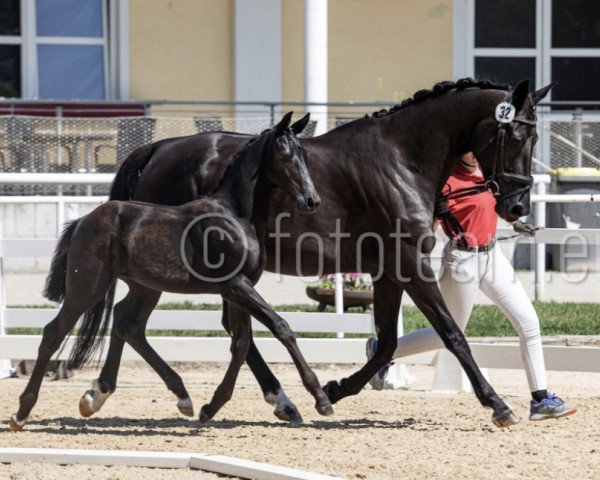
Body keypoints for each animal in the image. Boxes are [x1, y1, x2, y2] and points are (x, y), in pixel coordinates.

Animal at [10, 111, 332, 432]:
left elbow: (241, 344)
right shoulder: (235, 286)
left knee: (128, 324)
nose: (311, 200)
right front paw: (320, 398)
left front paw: (211, 407)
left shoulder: (240, 290)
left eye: (303, 153)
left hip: (144, 286)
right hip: (87, 287)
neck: (234, 214)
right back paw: (21, 413)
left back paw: (164, 396)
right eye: (284, 154)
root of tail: (82, 221)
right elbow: (281, 328)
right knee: (54, 333)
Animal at [86, 78, 552, 428]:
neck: (401, 160)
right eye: (515, 134)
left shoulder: (387, 271)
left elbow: (386, 343)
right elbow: (451, 333)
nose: (517, 207)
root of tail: (158, 149)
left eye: (535, 134)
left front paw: (335, 389)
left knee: (145, 323)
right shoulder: (408, 265)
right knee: (134, 320)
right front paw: (497, 404)